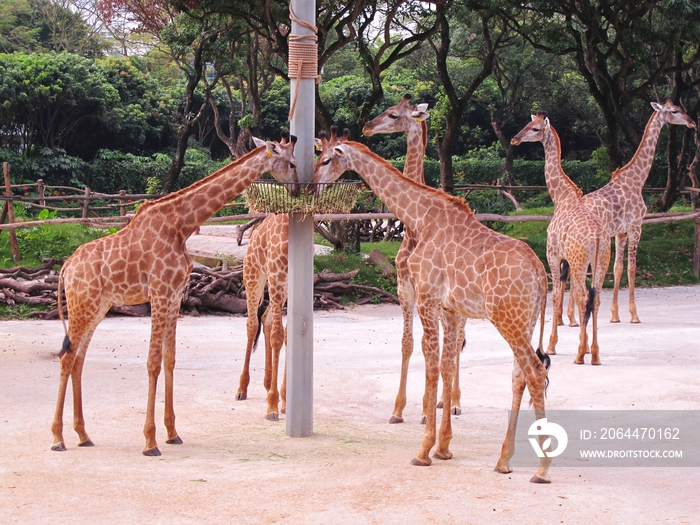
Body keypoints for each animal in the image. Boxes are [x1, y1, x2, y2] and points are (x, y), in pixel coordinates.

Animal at [51, 135, 298, 454]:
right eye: (291, 163)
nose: (299, 188)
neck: (181, 226)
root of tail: (66, 267)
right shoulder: (159, 292)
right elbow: (153, 361)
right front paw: (150, 441)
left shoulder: (174, 295)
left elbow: (169, 359)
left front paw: (171, 433)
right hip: (84, 304)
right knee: (66, 358)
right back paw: (58, 438)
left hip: (97, 306)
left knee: (78, 359)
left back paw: (83, 435)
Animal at [316, 127, 552, 484]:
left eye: (327, 159)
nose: (311, 183)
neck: (421, 217)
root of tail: (540, 275)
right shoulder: (451, 310)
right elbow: (447, 364)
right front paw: (443, 448)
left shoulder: (427, 296)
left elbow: (429, 361)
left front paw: (423, 449)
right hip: (524, 321)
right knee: (519, 375)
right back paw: (503, 460)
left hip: (507, 319)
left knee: (535, 373)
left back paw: (541, 469)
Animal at [360, 93, 464, 422]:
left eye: (394, 115)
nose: (367, 127)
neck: (412, 228)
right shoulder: (404, 285)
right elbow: (408, 344)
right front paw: (399, 408)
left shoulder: (427, 292)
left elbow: (432, 346)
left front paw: (426, 407)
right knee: (451, 342)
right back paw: (443, 401)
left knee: (457, 340)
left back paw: (454, 402)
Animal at [512, 112, 608, 362]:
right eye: (528, 123)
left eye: (535, 129)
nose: (515, 139)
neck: (561, 197)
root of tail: (597, 236)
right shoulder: (568, 260)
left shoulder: (553, 255)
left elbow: (555, 295)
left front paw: (552, 345)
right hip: (600, 262)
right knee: (595, 298)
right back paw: (595, 354)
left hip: (580, 261)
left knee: (584, 296)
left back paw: (580, 354)